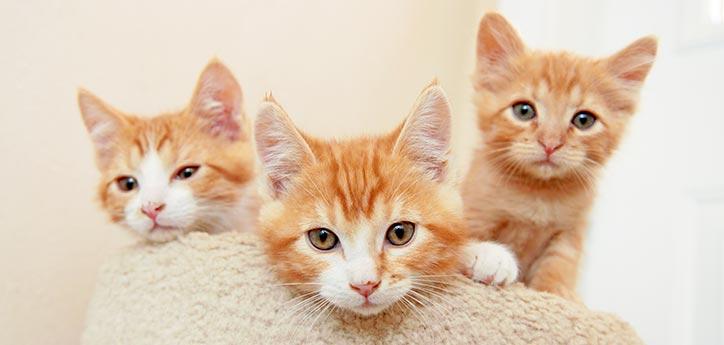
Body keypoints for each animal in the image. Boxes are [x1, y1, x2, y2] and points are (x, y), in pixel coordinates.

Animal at [460, 13, 660, 298]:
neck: (538, 193)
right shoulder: (473, 212)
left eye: (584, 120)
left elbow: (559, 266)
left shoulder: (569, 233)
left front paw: (557, 294)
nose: (550, 143)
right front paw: (489, 257)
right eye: (523, 111)